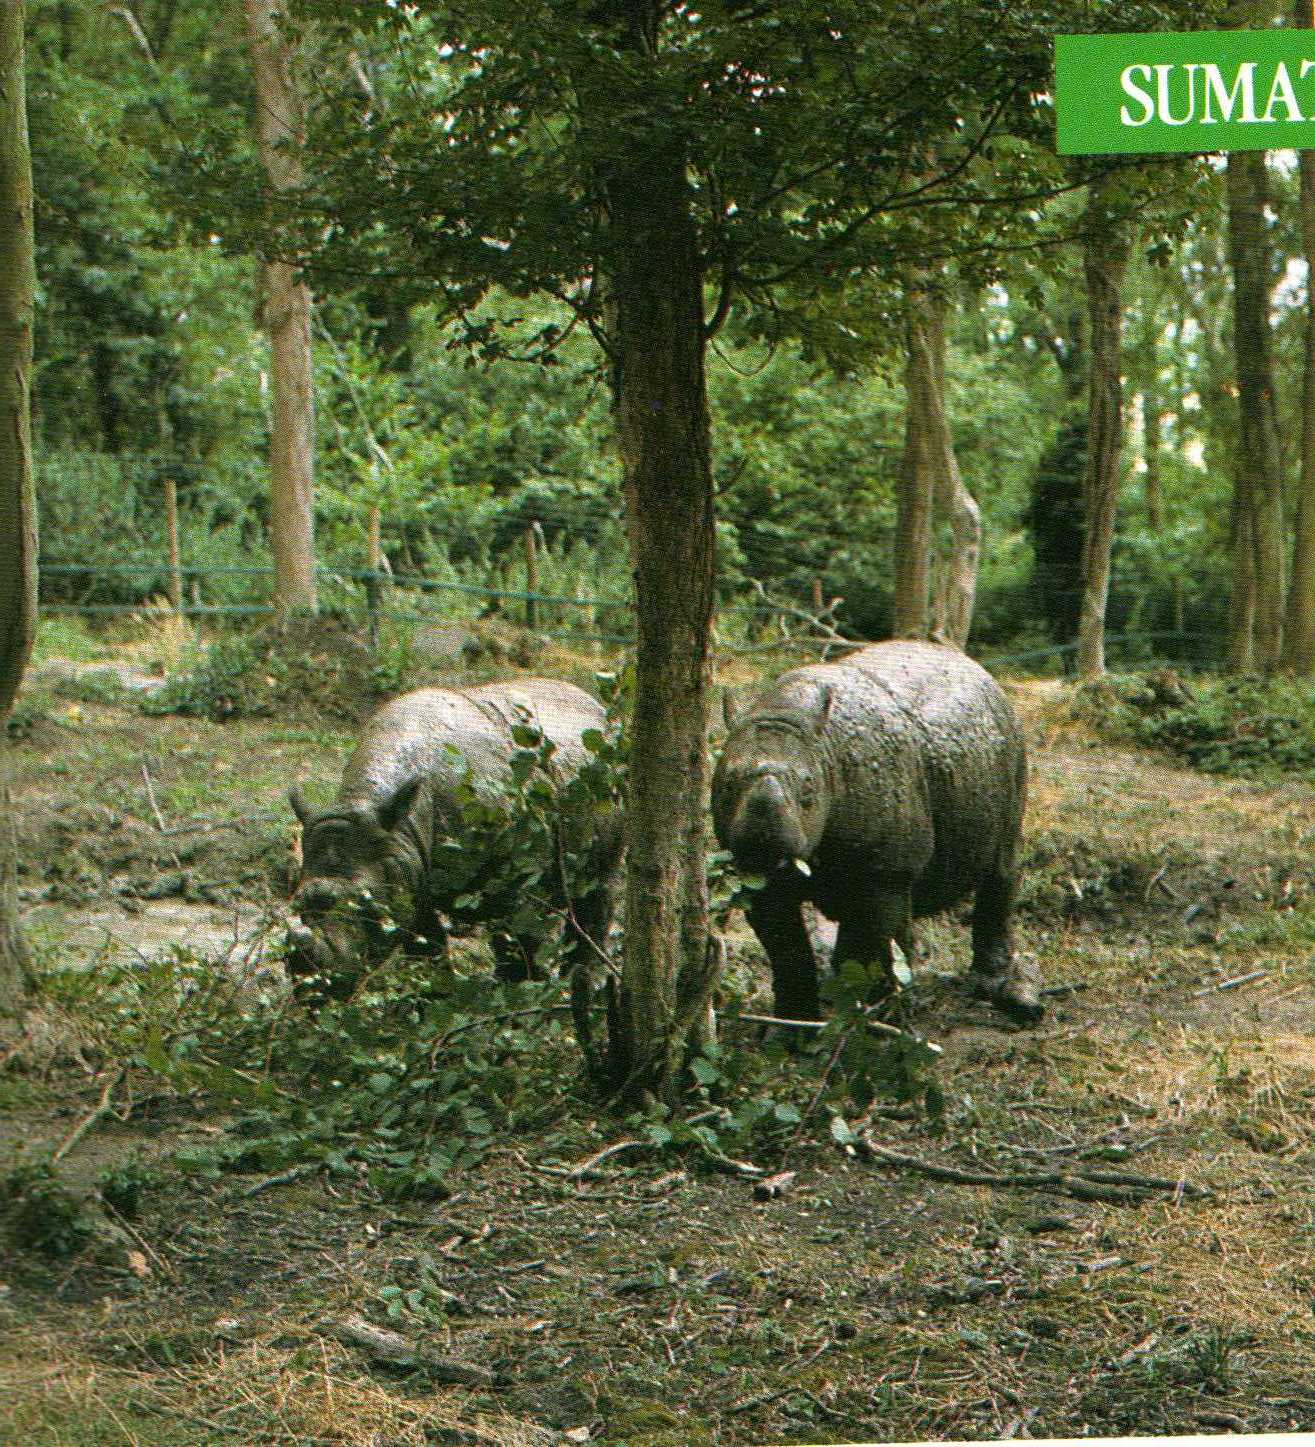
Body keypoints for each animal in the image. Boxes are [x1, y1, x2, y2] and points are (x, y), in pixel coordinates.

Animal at [286, 679, 621, 997]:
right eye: (298, 905)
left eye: (364, 905)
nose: (311, 991)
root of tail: (595, 705)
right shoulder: (410, 867)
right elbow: (424, 941)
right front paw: (435, 994)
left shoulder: (519, 866)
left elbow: (519, 931)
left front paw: (519, 993)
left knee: (598, 881)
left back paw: (585, 981)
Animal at [711, 640, 1040, 1024]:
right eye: (727, 784)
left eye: (809, 789)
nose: (763, 840)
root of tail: (978, 669)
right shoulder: (758, 877)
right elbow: (787, 952)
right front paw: (793, 1026)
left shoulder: (886, 871)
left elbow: (870, 945)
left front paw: (870, 1023)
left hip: (1010, 742)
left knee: (1002, 862)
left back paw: (998, 993)